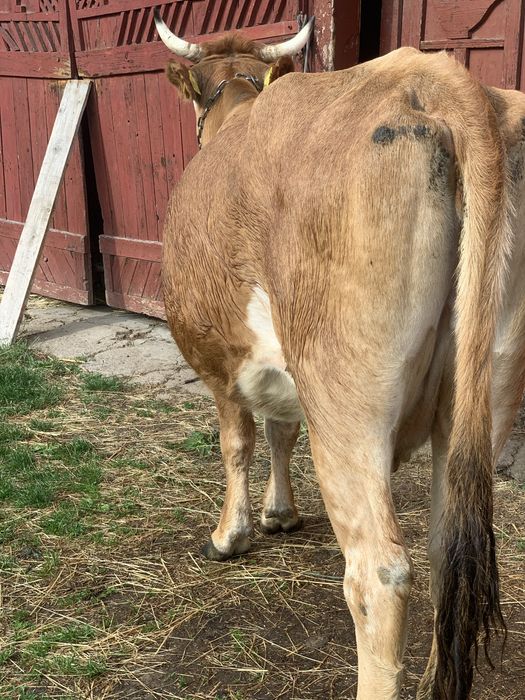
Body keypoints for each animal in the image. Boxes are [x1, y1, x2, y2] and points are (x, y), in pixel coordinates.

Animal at [154, 11, 514, 699]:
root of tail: (432, 77)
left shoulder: (220, 361)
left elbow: (239, 441)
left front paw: (230, 534)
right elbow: (279, 430)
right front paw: (280, 514)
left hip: (345, 399)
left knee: (379, 573)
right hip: (487, 394)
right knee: (444, 547)